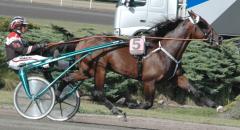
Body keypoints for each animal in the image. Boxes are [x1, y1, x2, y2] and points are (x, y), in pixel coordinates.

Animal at [56, 11, 223, 114]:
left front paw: (216, 105)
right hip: (96, 68)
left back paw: (58, 97)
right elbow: (148, 103)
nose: (219, 38)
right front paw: (128, 103)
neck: (164, 51)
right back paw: (116, 110)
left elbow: (196, 91)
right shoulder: (149, 81)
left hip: (89, 71)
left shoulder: (177, 77)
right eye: (204, 24)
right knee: (96, 91)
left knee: (67, 78)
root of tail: (83, 40)